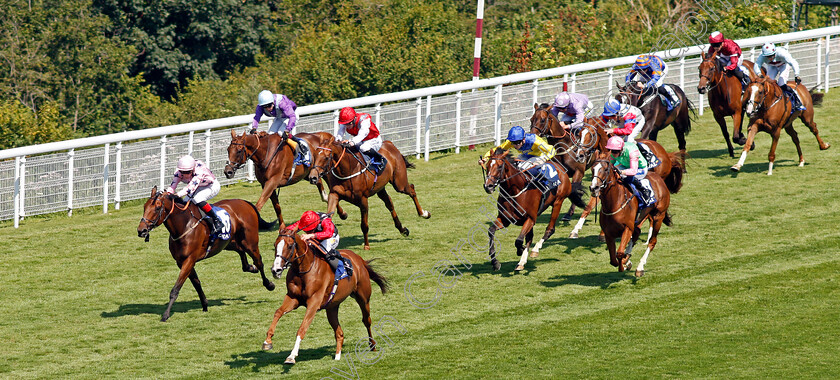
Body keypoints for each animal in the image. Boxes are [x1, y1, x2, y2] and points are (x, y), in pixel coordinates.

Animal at [137, 186, 276, 320]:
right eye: (144, 207)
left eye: (157, 208)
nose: (141, 230)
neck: (184, 225)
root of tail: (245, 203)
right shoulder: (181, 262)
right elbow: (196, 283)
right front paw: (204, 304)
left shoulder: (189, 260)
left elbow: (176, 289)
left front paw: (165, 315)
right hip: (229, 242)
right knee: (242, 254)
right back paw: (251, 268)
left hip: (250, 243)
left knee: (259, 261)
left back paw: (269, 284)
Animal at [260, 230, 388, 364]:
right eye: (275, 245)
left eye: (290, 246)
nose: (276, 270)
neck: (305, 269)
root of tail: (359, 259)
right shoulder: (293, 298)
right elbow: (278, 312)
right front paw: (267, 341)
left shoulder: (313, 303)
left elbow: (302, 328)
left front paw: (292, 355)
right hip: (332, 307)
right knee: (339, 333)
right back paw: (337, 356)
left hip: (363, 298)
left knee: (366, 320)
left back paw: (372, 345)